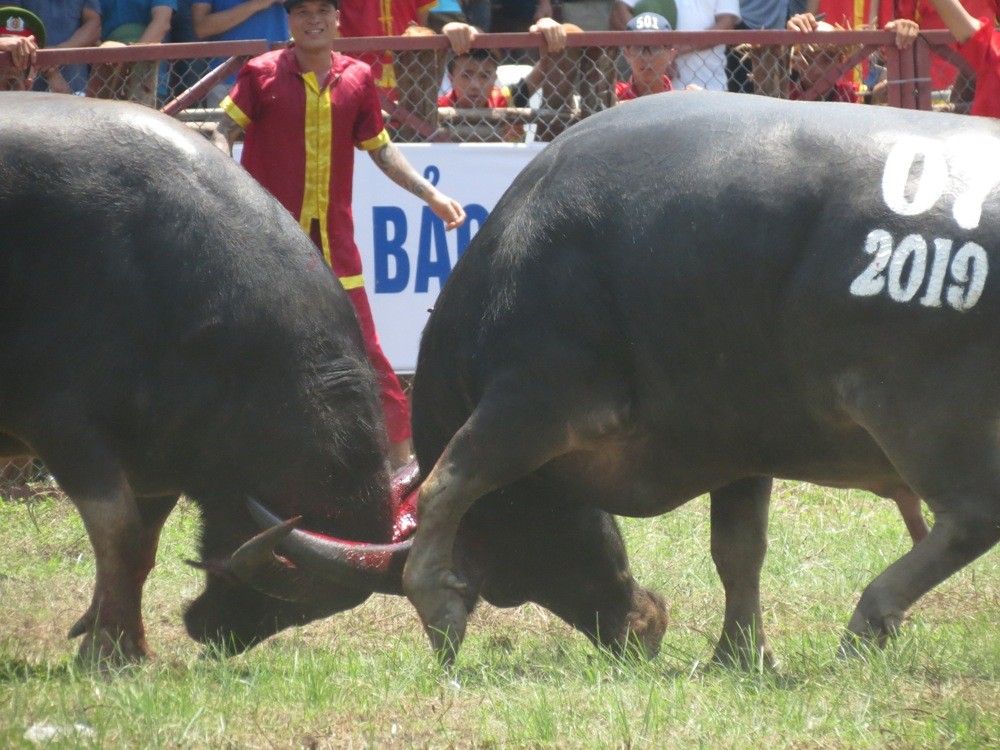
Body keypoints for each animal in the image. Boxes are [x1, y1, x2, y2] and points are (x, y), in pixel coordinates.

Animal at [0, 92, 414, 664]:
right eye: (276, 593)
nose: (217, 636)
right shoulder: (62, 426)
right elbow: (119, 533)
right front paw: (110, 652)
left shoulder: (155, 455)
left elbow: (142, 546)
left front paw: (123, 637)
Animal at [392, 95, 1000, 668]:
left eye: (505, 587)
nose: (640, 630)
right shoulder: (744, 438)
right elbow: (738, 549)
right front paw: (741, 655)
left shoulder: (533, 400)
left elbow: (446, 484)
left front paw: (437, 608)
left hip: (918, 417)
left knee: (973, 516)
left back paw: (867, 622)